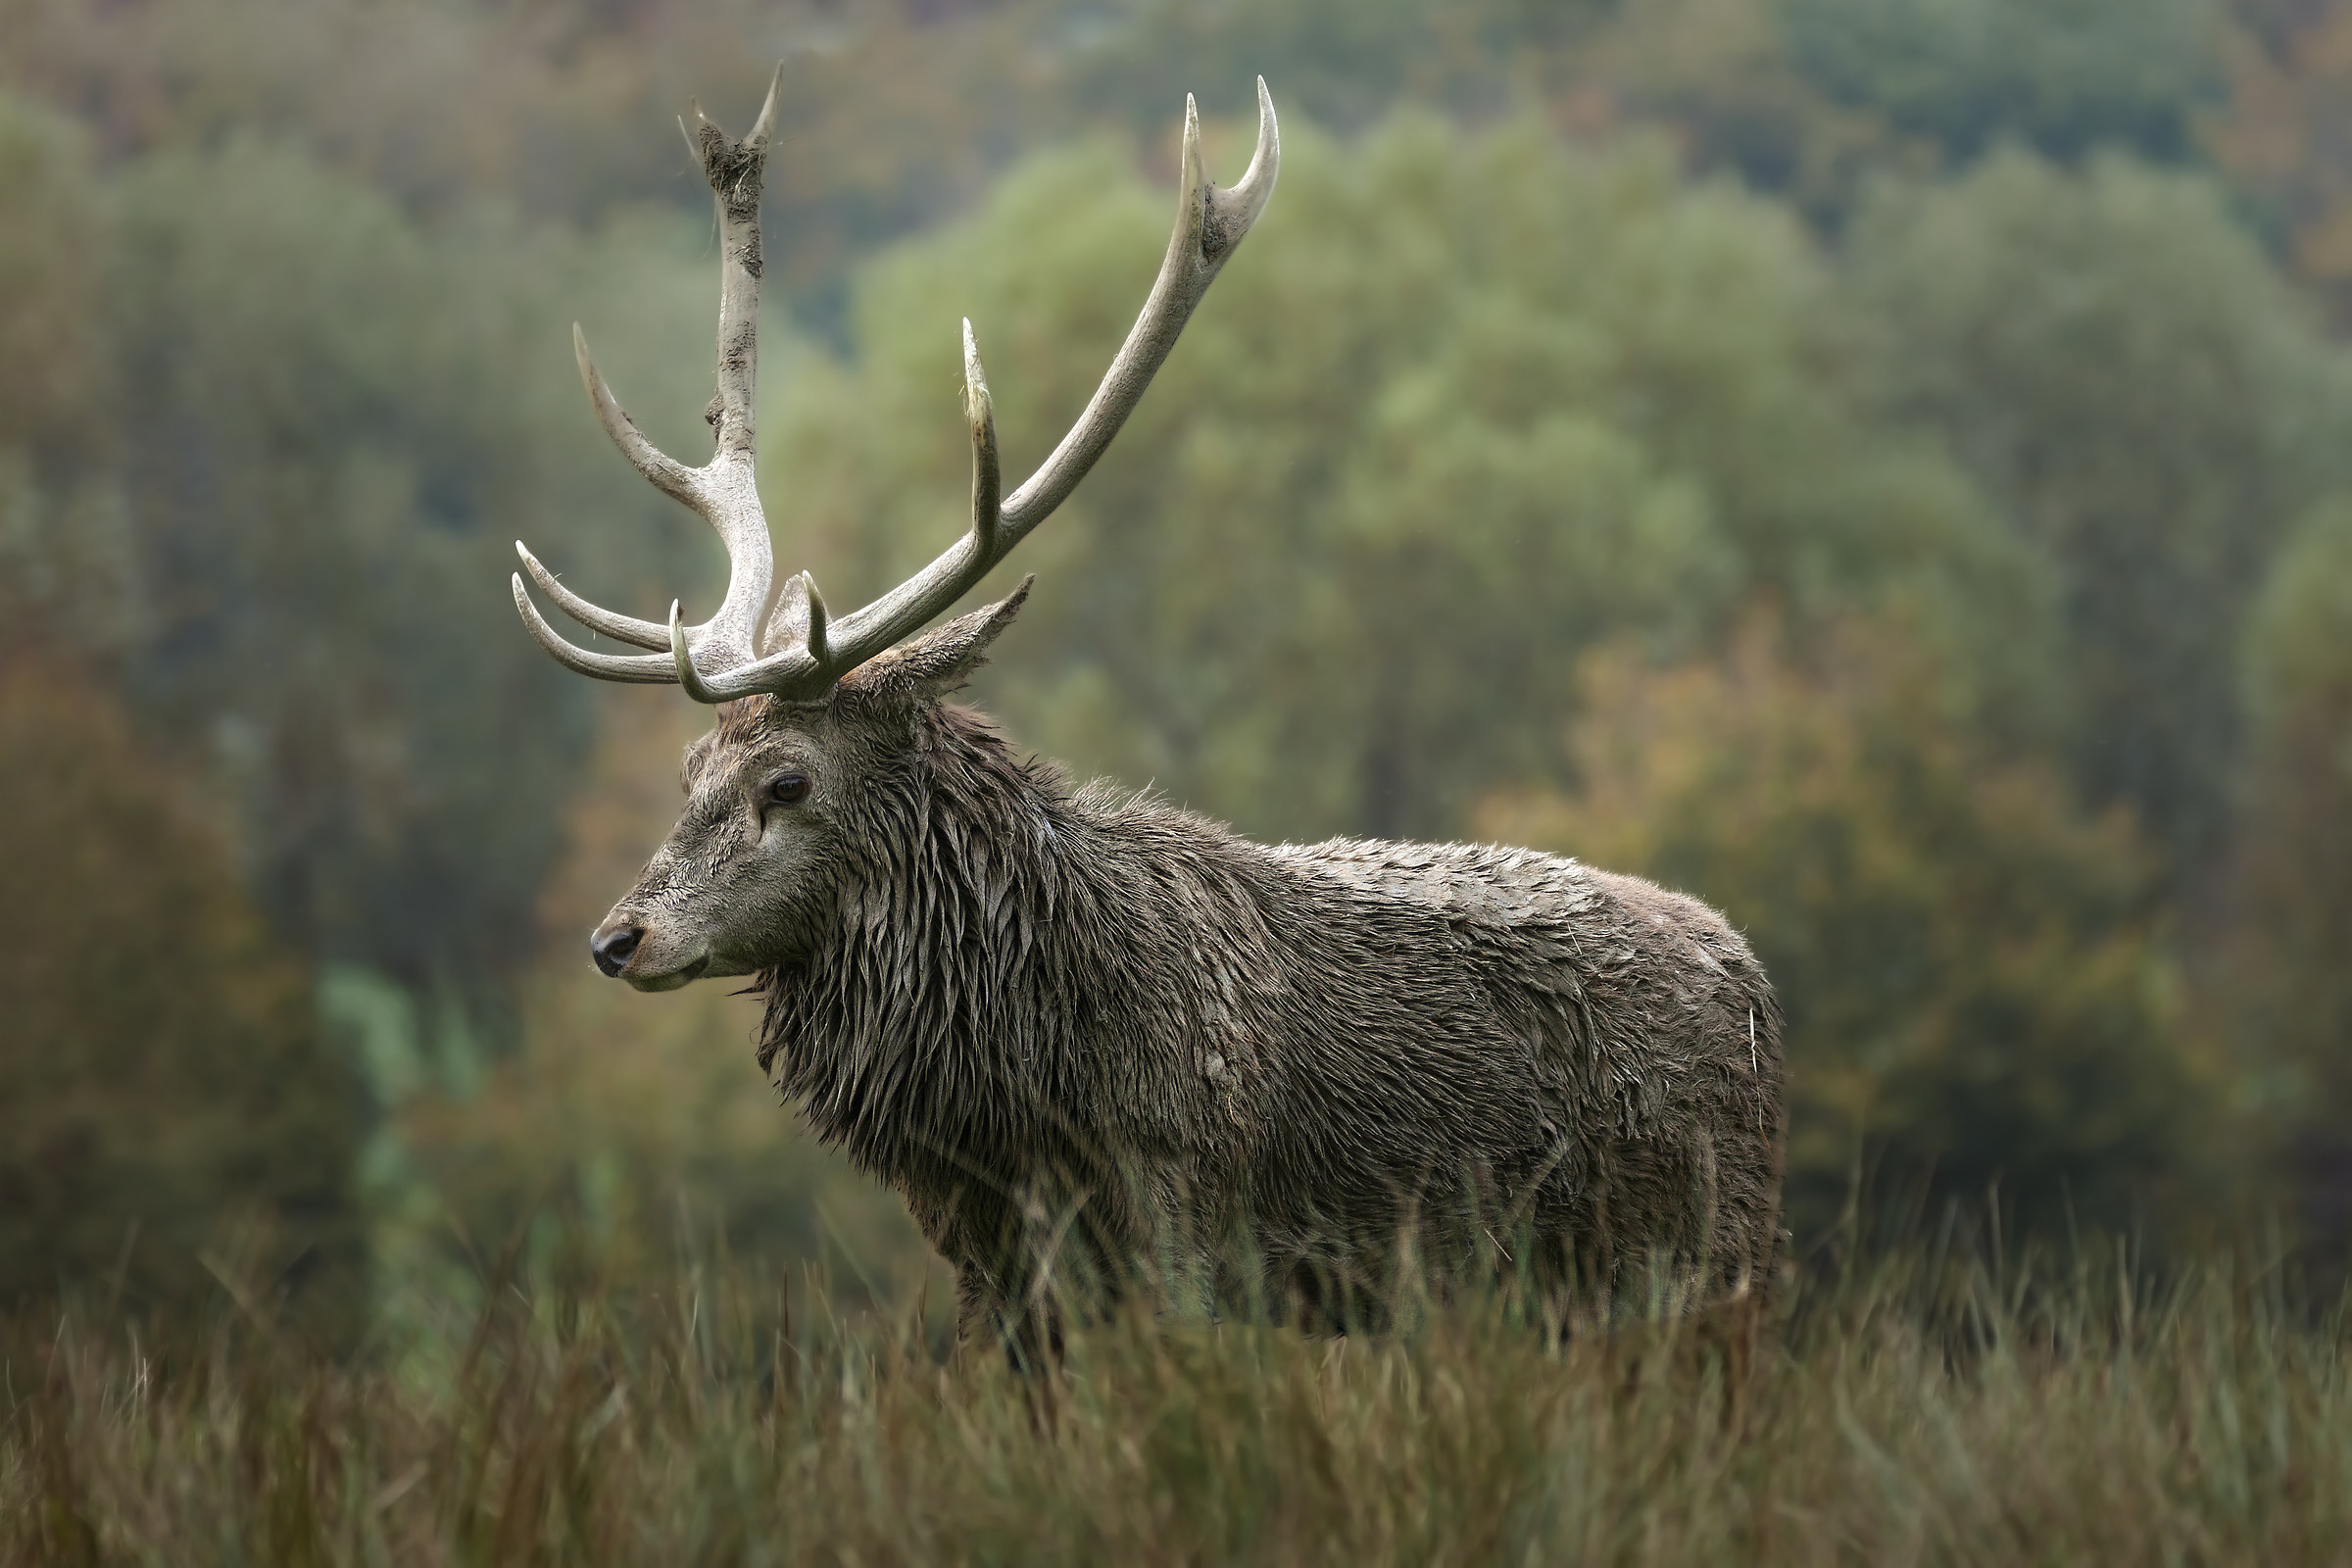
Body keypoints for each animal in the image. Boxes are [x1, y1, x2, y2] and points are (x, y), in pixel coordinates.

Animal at [510, 72, 1786, 1362]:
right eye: (686, 772)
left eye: (786, 781)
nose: (617, 938)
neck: (1017, 1099)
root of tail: (1756, 987)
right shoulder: (983, 1258)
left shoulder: (1187, 1198)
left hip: (1704, 1259)